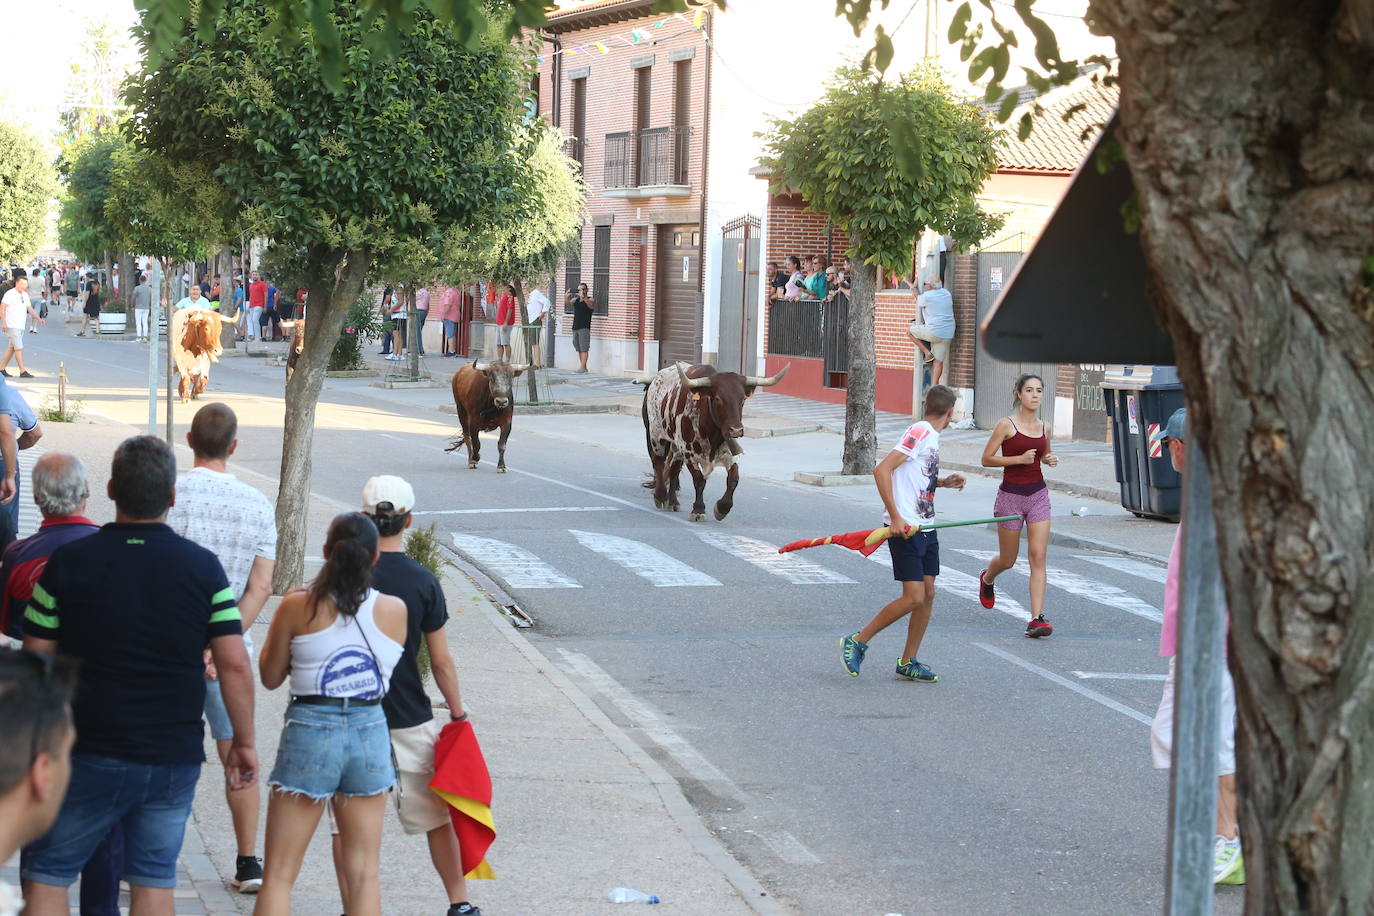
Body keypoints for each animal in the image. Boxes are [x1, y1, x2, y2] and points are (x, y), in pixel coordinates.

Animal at [634, 362, 791, 521]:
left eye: (742, 400)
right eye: (718, 399)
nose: (736, 430)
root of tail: (656, 379)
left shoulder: (728, 452)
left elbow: (734, 478)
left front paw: (722, 508)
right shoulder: (689, 453)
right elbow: (699, 480)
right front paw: (698, 509)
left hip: (676, 446)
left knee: (674, 469)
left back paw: (673, 501)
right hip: (656, 436)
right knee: (658, 463)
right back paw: (660, 496)